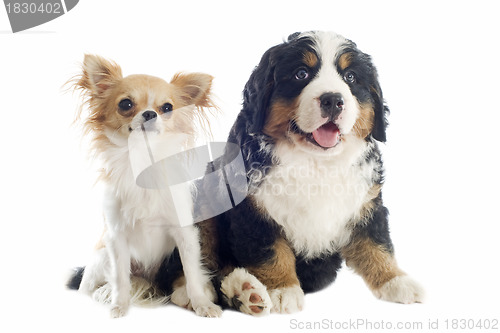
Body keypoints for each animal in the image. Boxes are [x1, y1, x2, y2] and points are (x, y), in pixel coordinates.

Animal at [158, 30, 424, 314]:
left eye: (350, 77)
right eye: (301, 74)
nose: (333, 100)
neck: (315, 162)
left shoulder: (365, 203)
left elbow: (376, 243)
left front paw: (396, 281)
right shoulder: (255, 210)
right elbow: (272, 252)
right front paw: (283, 290)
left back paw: (243, 291)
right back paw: (201, 291)